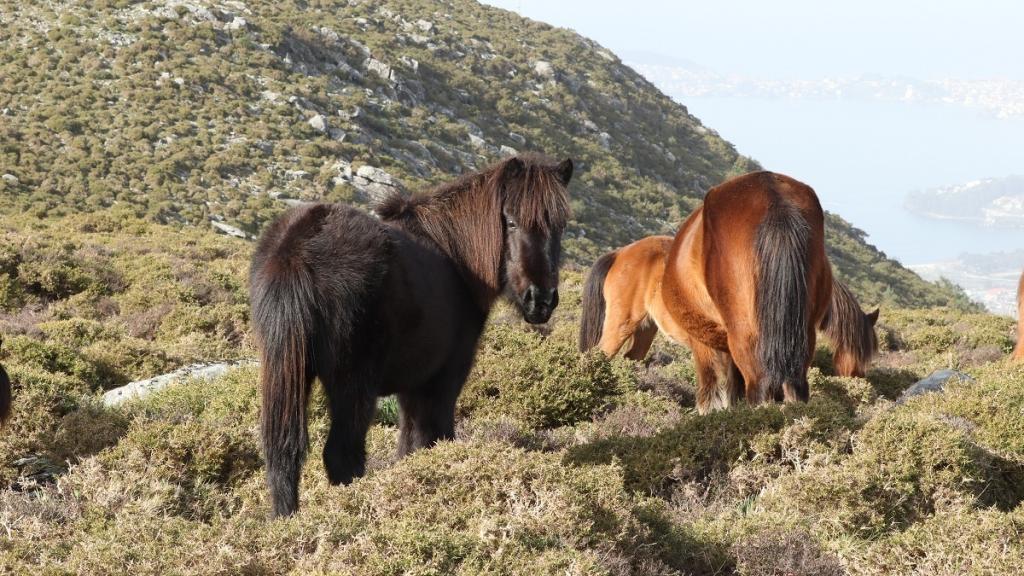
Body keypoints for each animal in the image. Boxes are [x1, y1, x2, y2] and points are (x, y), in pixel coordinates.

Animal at [250, 154, 573, 517]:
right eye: (512, 221)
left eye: (561, 225)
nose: (540, 300)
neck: (455, 256)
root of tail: (299, 248)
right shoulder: (444, 378)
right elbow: (435, 436)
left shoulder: (412, 386)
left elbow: (409, 445)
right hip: (354, 385)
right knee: (342, 455)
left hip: (288, 373)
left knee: (283, 454)